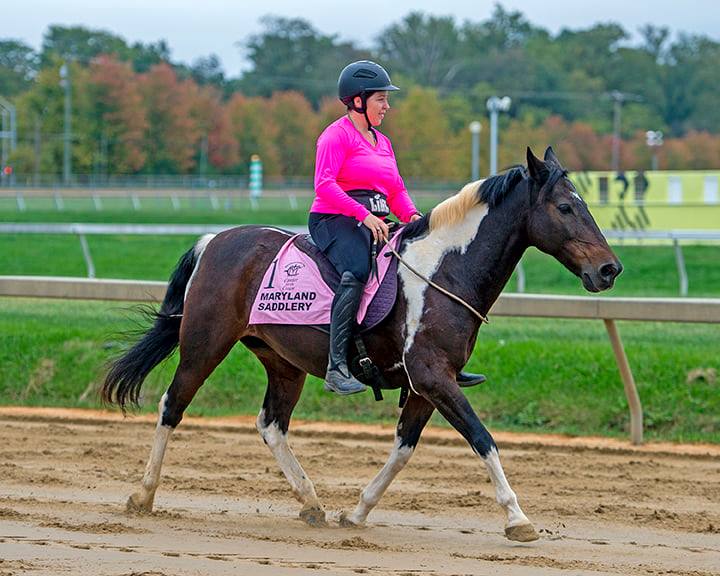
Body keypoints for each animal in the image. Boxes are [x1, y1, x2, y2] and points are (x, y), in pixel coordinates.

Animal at [102, 146, 624, 544]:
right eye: (565, 208)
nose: (609, 269)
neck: (443, 272)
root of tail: (214, 240)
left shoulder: (425, 386)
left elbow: (404, 450)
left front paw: (357, 511)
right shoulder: (434, 378)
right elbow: (483, 439)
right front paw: (518, 517)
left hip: (284, 363)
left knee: (271, 425)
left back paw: (311, 502)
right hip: (204, 345)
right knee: (172, 405)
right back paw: (143, 495)